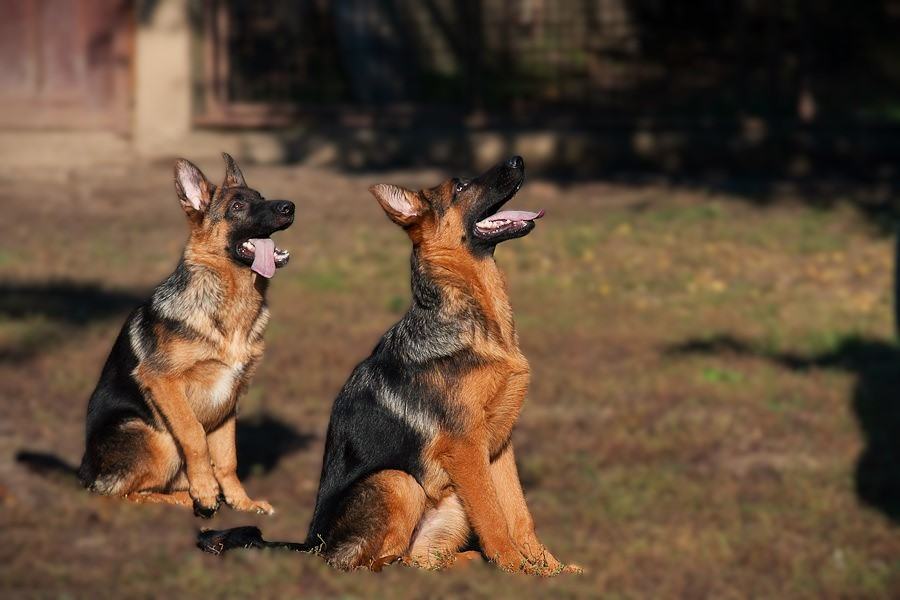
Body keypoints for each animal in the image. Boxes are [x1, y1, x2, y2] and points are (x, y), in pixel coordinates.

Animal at [78, 154, 294, 517]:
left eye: (261, 197)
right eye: (237, 206)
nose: (289, 206)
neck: (228, 306)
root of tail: (84, 472)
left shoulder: (230, 400)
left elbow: (227, 459)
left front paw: (241, 502)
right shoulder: (162, 382)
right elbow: (195, 437)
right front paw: (205, 492)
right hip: (156, 435)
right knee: (121, 494)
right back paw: (181, 498)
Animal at [201, 156, 578, 575]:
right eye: (460, 186)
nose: (517, 160)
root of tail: (311, 546)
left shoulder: (499, 447)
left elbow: (519, 515)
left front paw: (550, 570)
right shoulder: (467, 448)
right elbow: (495, 517)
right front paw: (516, 569)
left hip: (445, 502)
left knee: (418, 558)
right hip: (398, 480)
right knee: (372, 561)